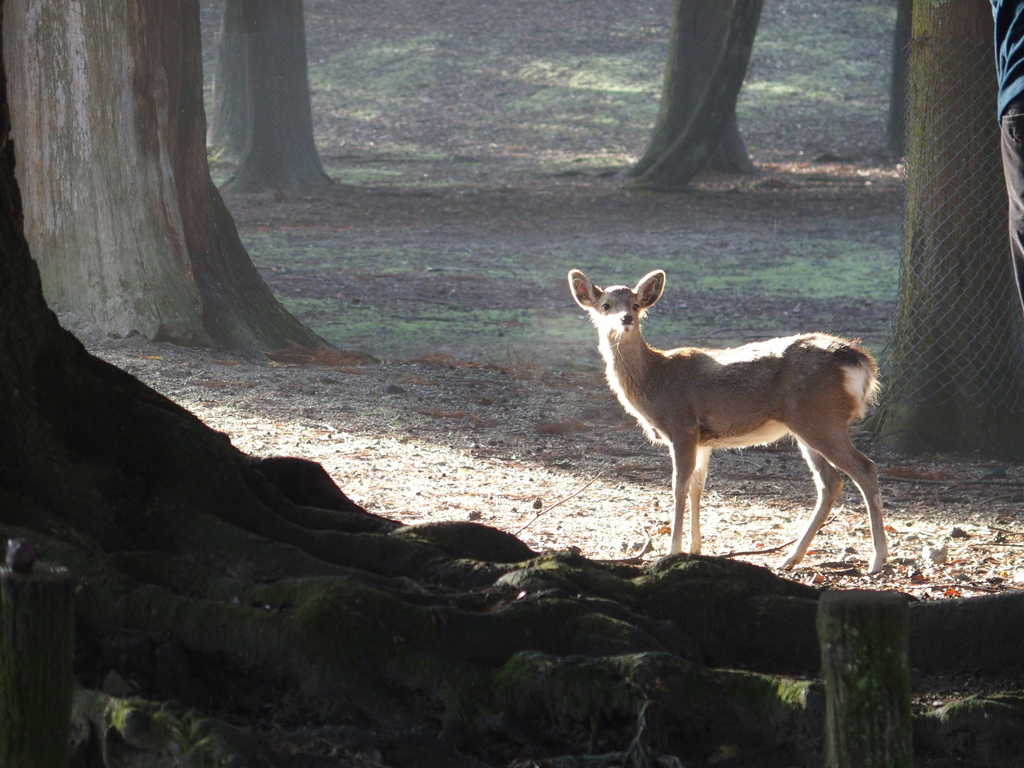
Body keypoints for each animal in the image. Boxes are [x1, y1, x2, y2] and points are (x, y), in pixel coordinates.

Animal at [569, 268, 888, 573]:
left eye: (635, 305)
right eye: (605, 305)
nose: (625, 318)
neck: (654, 380)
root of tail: (862, 363)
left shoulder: (682, 426)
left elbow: (678, 486)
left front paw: (672, 550)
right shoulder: (703, 439)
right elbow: (697, 486)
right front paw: (695, 547)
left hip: (820, 418)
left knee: (865, 468)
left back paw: (876, 560)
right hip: (808, 425)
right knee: (830, 482)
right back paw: (789, 558)